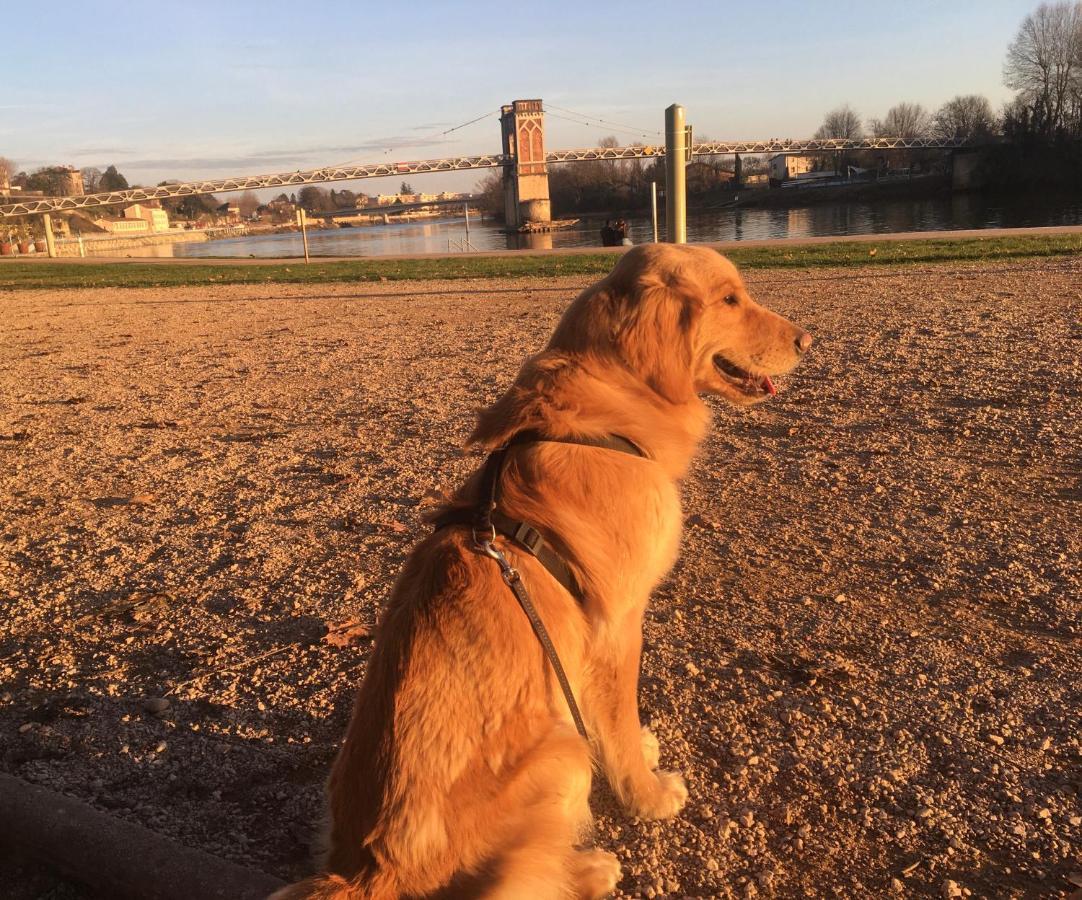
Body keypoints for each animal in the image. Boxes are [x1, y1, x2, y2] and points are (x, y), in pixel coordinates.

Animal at [270, 244, 813, 899]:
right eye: (730, 299)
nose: (807, 339)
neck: (602, 422)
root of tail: (370, 872)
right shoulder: (616, 626)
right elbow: (619, 724)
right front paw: (649, 795)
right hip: (562, 752)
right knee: (527, 875)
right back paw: (590, 868)